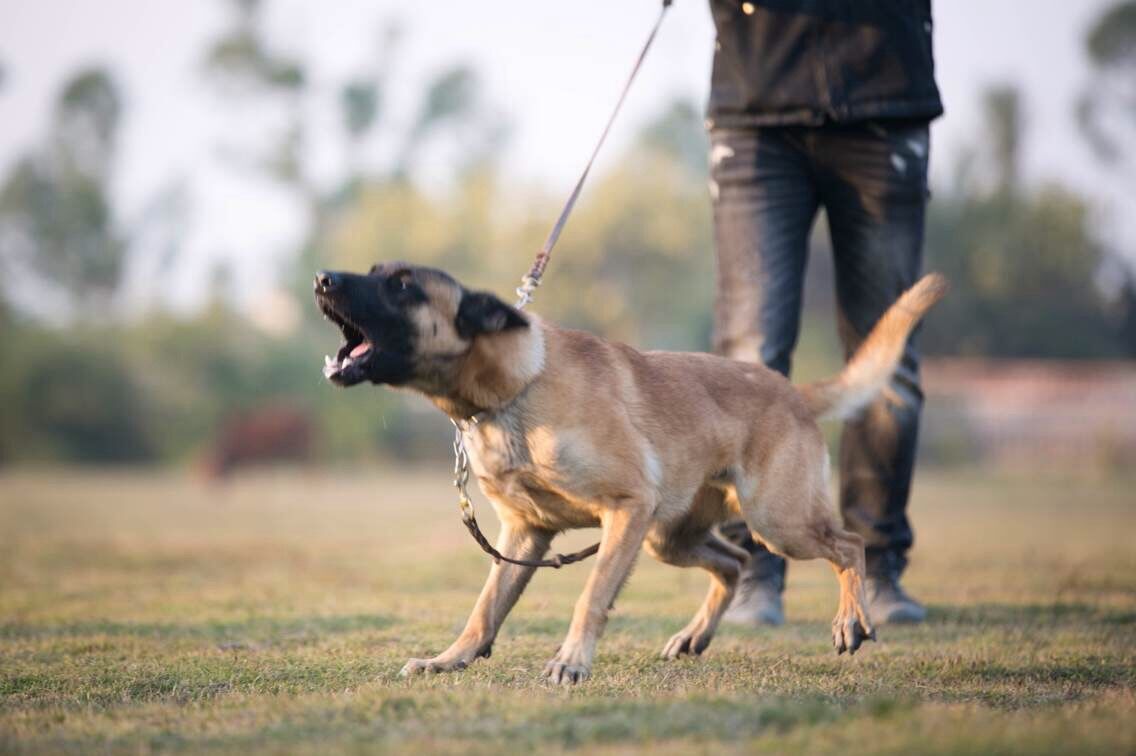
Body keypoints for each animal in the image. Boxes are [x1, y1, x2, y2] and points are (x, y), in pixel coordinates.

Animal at [315, 263, 945, 682]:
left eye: (401, 284)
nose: (322, 278)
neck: (515, 388)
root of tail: (792, 390)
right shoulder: (524, 534)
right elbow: (485, 608)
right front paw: (452, 659)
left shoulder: (626, 509)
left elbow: (590, 596)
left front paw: (571, 662)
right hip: (671, 538)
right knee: (733, 562)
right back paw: (695, 635)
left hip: (777, 520)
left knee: (849, 545)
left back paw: (852, 620)